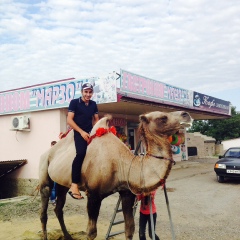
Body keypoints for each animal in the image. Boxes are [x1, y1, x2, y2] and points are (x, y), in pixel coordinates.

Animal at [39, 110, 193, 240]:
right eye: (162, 117)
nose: (186, 115)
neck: (122, 164)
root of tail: (49, 151)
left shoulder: (126, 192)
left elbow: (129, 229)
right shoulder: (93, 194)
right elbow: (91, 232)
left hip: (61, 183)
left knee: (58, 208)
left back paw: (68, 236)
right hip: (44, 171)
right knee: (44, 208)